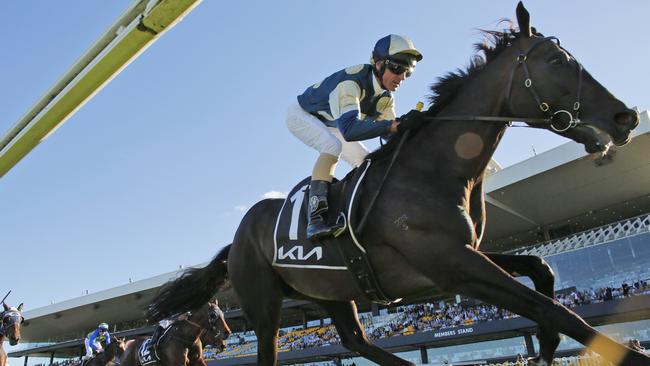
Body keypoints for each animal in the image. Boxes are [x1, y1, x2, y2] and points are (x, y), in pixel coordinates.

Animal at [142, 2, 644, 366]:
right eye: (558, 61)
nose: (626, 117)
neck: (436, 170)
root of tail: (237, 237)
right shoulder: (451, 264)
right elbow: (555, 309)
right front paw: (622, 350)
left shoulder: (462, 254)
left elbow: (542, 269)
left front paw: (545, 344)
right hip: (264, 308)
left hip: (331, 291)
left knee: (355, 341)